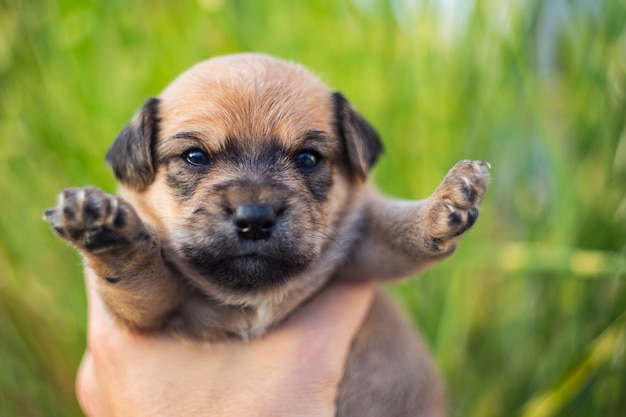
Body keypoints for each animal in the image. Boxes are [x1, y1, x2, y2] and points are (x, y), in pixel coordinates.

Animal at [46, 53, 490, 414]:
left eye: (308, 158)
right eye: (194, 156)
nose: (255, 217)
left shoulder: (365, 246)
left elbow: (399, 230)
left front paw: (444, 203)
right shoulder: (152, 313)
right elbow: (139, 272)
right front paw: (107, 233)